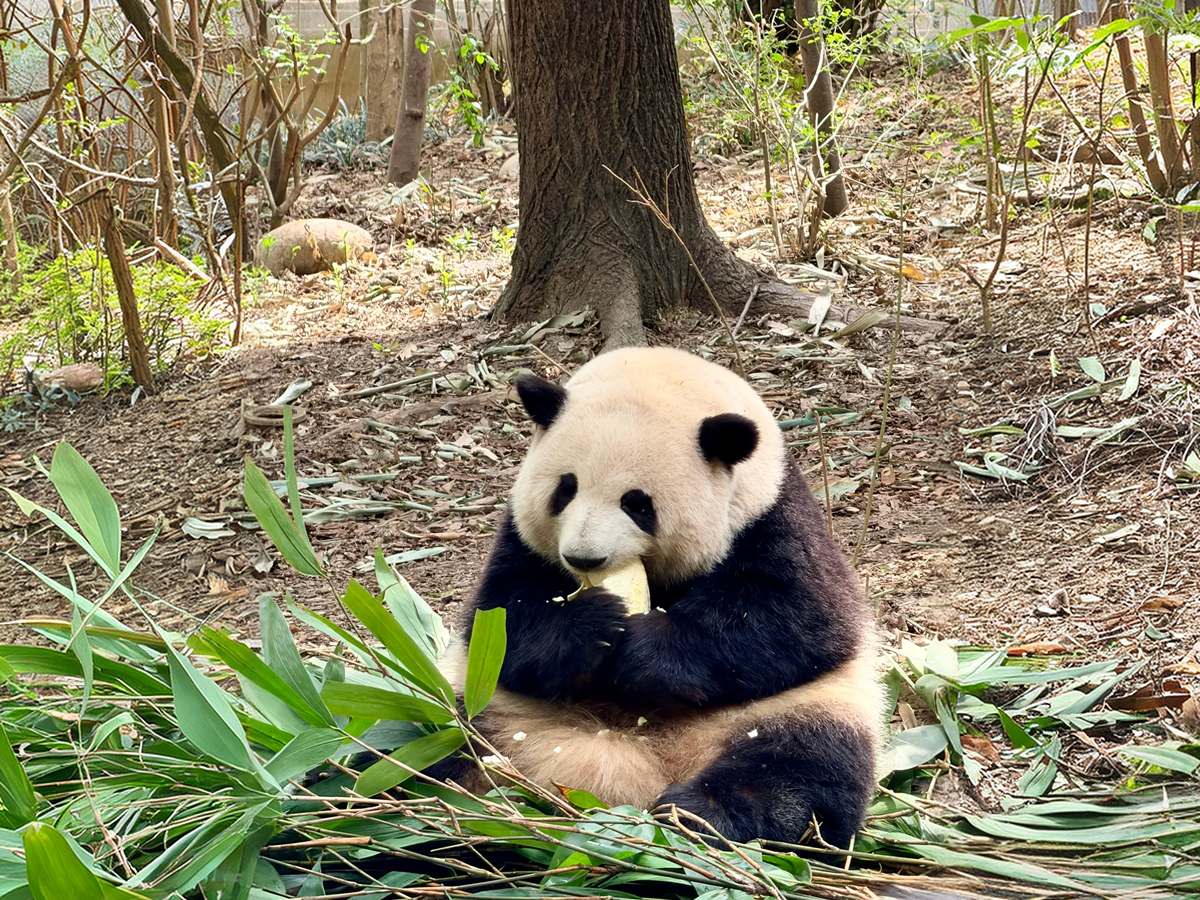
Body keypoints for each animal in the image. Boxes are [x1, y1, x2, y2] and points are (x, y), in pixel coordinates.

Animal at [438, 346, 880, 848]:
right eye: (565, 489)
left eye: (637, 503)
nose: (584, 557)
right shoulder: (520, 541)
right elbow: (501, 622)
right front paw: (591, 626)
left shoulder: (773, 517)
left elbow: (799, 624)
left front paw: (641, 649)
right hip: (486, 709)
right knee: (427, 745)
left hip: (801, 710)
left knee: (799, 770)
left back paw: (696, 815)